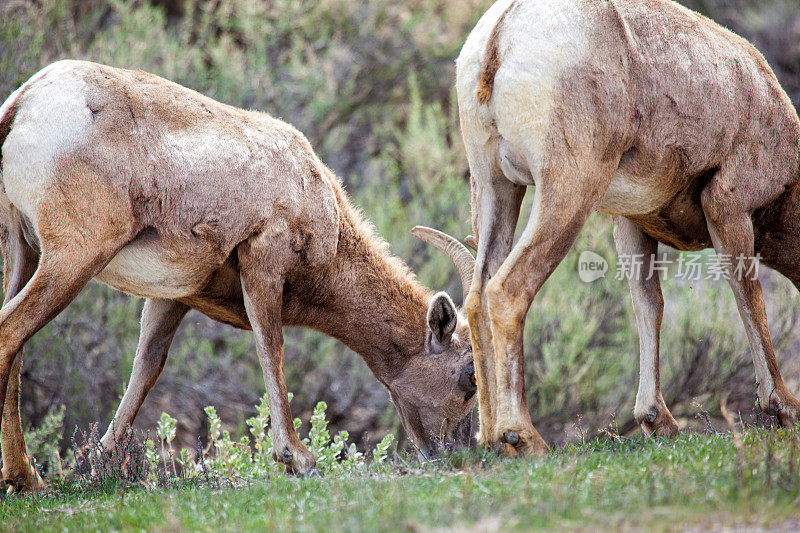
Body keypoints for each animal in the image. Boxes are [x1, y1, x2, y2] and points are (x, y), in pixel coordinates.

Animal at [0, 59, 476, 490]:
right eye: (470, 377)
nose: (456, 452)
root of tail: (25, 101)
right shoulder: (264, 262)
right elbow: (271, 349)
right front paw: (299, 460)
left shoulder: (172, 297)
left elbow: (147, 366)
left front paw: (102, 463)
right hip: (73, 257)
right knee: (11, 335)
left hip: (22, 253)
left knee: (17, 345)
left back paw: (26, 479)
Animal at [456, 0, 800, 454]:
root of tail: (502, 32)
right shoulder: (728, 207)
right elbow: (749, 298)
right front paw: (784, 408)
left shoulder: (630, 226)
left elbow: (649, 305)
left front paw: (659, 422)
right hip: (568, 190)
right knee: (508, 290)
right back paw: (525, 439)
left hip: (495, 188)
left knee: (478, 297)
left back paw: (492, 439)